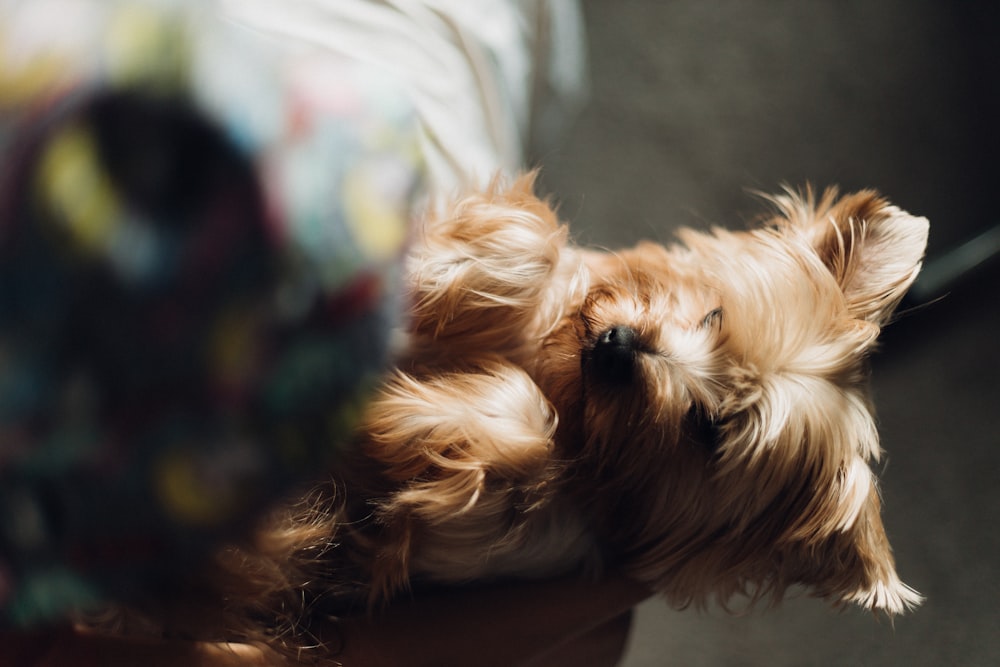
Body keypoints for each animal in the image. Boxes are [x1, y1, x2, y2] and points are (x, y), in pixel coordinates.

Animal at [193, 172, 920, 656]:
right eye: (715, 313)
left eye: (706, 429)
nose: (617, 347)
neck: (567, 386)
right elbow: (535, 244)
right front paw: (451, 273)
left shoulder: (472, 547)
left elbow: (517, 447)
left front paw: (420, 415)